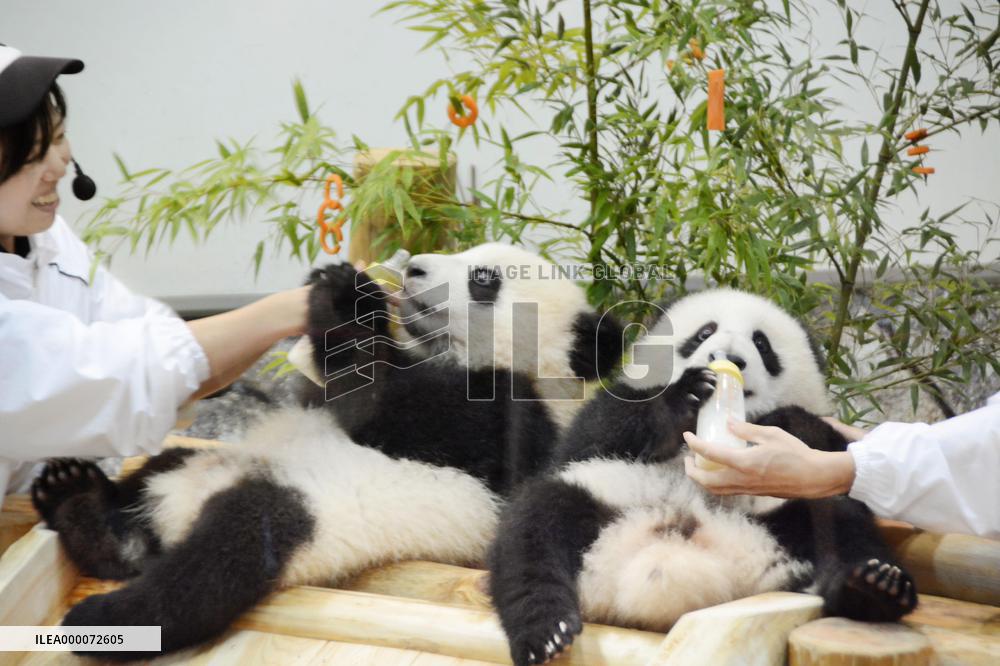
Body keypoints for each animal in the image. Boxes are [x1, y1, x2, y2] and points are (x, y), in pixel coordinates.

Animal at [29, 242, 622, 658]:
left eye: (483, 279)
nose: (415, 268)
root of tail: (178, 511)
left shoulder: (509, 425)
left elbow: (389, 408)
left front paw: (348, 298)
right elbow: (321, 392)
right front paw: (339, 287)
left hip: (308, 519)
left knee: (217, 562)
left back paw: (108, 618)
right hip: (201, 457)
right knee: (152, 485)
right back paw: (83, 506)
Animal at [488, 288, 918, 666]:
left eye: (761, 343)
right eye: (704, 332)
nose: (727, 358)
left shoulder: (822, 451)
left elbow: (833, 455)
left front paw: (781, 423)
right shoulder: (603, 419)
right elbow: (594, 435)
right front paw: (687, 393)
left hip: (778, 520)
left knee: (838, 523)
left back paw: (875, 589)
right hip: (602, 499)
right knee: (535, 530)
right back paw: (546, 630)